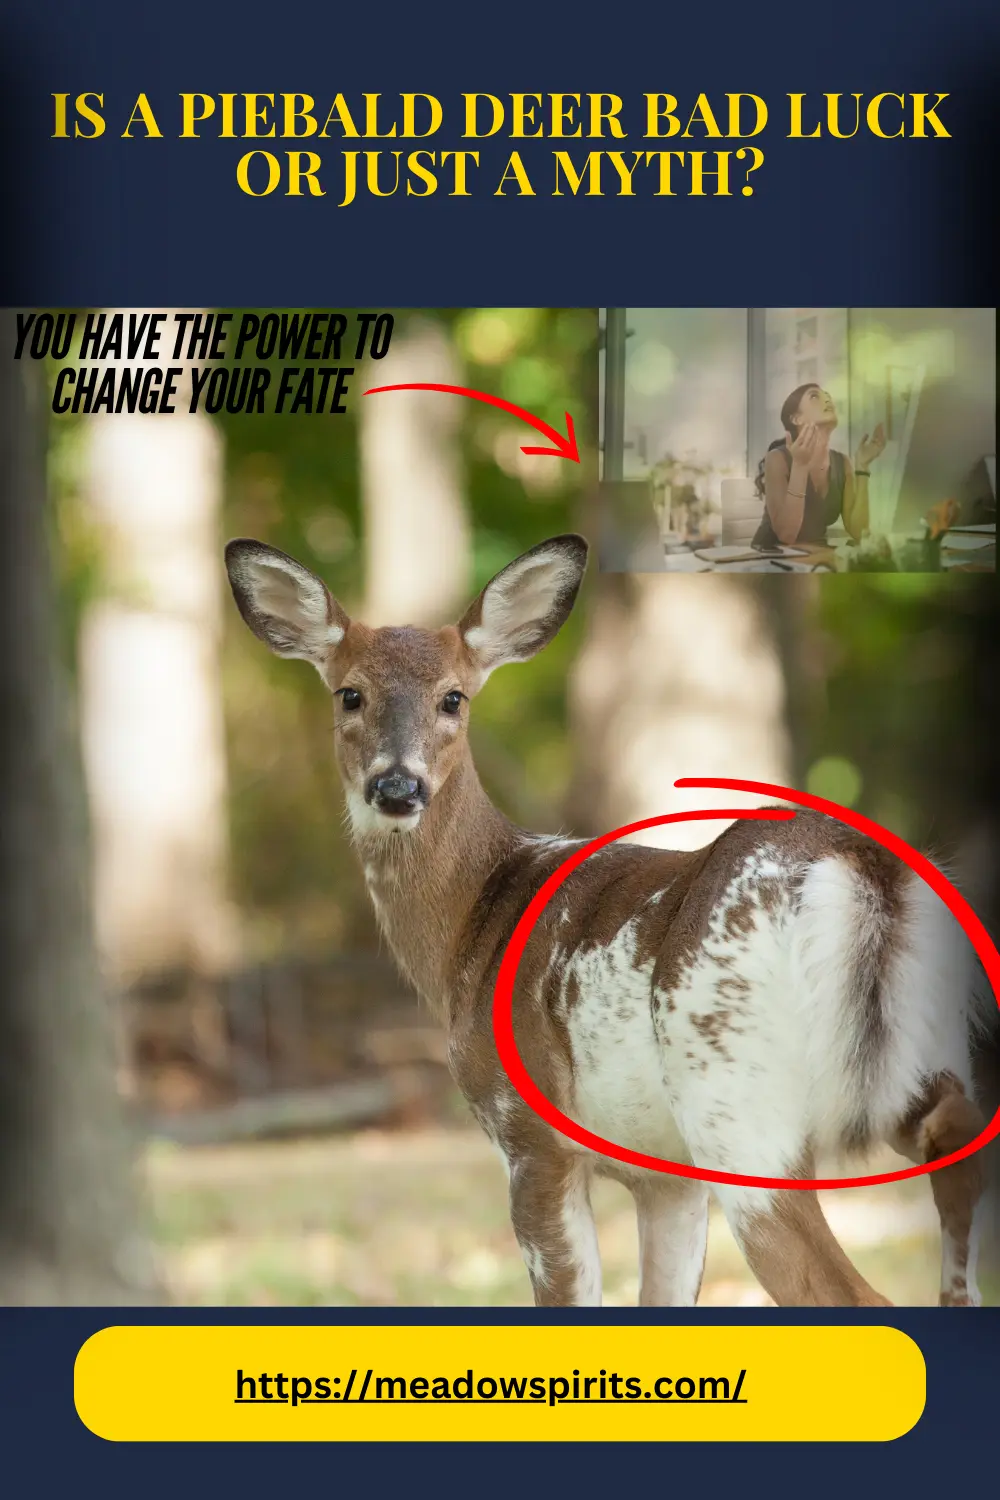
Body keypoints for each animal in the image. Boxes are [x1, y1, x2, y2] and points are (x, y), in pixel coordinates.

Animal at [225, 531, 991, 1308]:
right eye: (350, 693)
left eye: (453, 698)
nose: (397, 787)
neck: (473, 919)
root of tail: (865, 867)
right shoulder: (663, 1175)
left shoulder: (529, 1130)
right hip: (920, 1057)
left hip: (736, 1099)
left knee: (848, 1291)